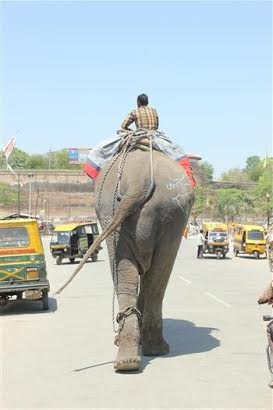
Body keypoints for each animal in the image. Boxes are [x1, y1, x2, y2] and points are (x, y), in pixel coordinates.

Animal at [56, 147, 193, 372]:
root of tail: (140, 178)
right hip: (154, 212)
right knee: (150, 277)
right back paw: (139, 355)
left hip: (160, 213)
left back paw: (133, 356)